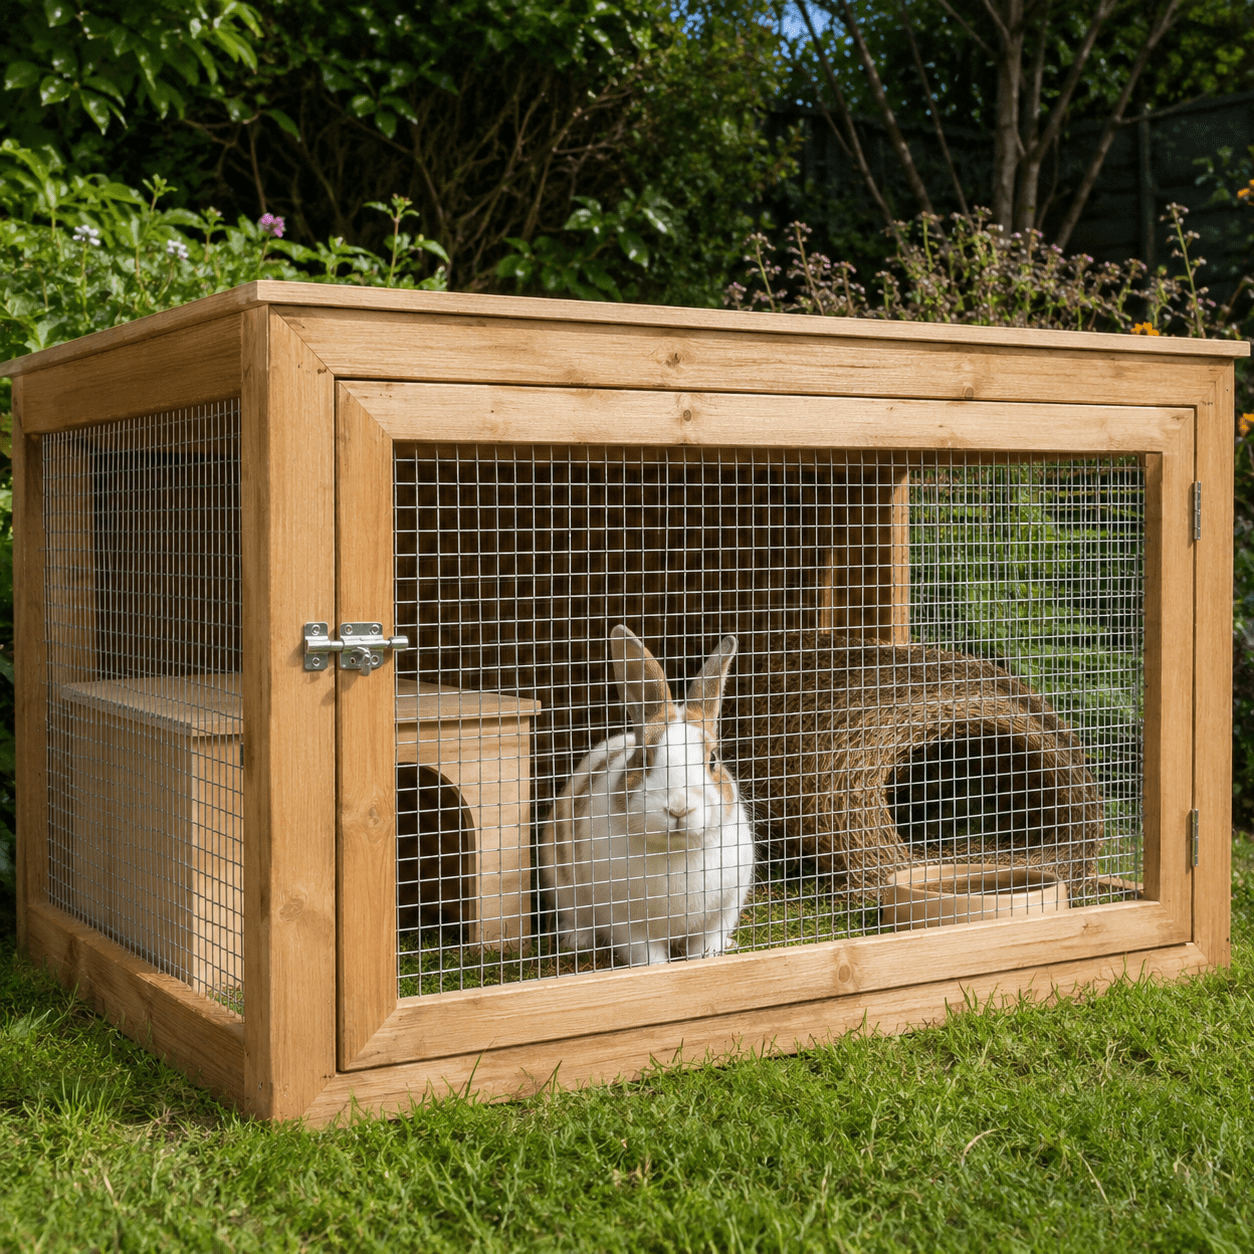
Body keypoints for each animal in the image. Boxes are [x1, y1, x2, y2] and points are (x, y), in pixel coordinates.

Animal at [539, 625, 756, 967]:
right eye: (644, 759)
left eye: (713, 760)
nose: (679, 809)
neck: (677, 851)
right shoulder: (627, 923)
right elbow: (647, 956)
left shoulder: (722, 912)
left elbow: (706, 944)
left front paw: (710, 959)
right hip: (562, 884)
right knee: (576, 916)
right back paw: (577, 940)